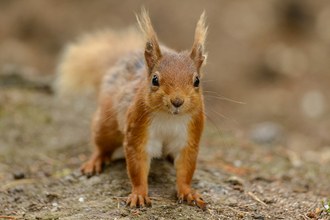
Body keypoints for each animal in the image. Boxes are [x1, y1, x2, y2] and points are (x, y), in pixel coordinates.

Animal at [55, 9, 208, 210]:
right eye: (155, 80)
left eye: (197, 81)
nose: (177, 101)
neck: (169, 117)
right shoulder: (137, 132)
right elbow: (137, 168)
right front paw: (139, 194)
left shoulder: (189, 138)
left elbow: (186, 169)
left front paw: (188, 192)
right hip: (106, 124)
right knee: (101, 145)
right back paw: (94, 162)